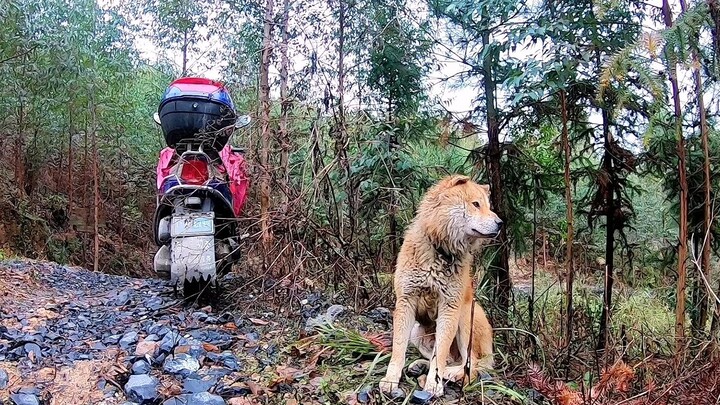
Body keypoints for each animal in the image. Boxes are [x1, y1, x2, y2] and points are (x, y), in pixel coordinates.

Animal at [380, 173, 498, 394]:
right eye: (476, 204)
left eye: (488, 206)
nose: (500, 223)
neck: (441, 250)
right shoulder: (406, 302)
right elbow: (398, 348)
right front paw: (391, 379)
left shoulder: (449, 308)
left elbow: (440, 353)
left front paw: (434, 383)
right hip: (417, 333)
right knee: (451, 358)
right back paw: (420, 366)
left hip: (465, 318)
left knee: (471, 363)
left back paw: (452, 375)